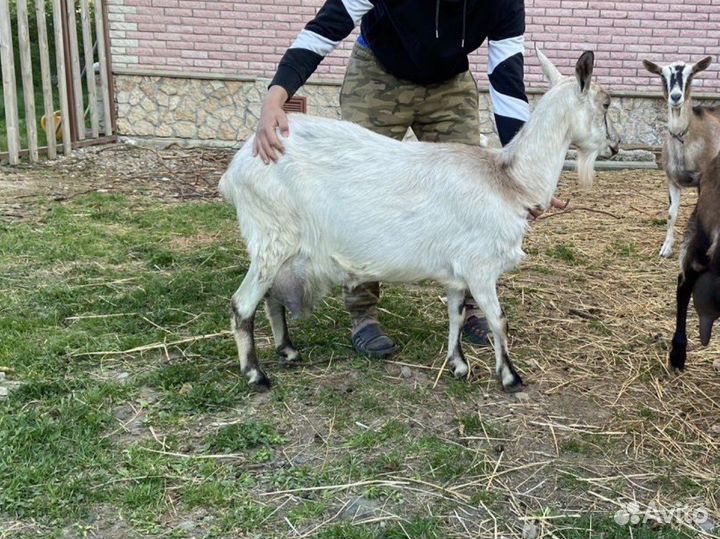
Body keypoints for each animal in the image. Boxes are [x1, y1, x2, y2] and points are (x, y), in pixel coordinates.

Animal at [218, 50, 619, 393]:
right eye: (606, 103)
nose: (614, 147)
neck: (508, 181)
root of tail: (237, 167)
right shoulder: (480, 268)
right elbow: (499, 319)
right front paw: (510, 378)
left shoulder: (458, 272)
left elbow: (456, 314)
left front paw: (459, 365)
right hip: (271, 238)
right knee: (241, 304)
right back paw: (255, 374)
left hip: (282, 248)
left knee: (271, 299)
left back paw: (287, 351)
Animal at [642, 57, 720, 258]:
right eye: (662, 75)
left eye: (691, 74)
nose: (676, 97)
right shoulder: (671, 179)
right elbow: (672, 213)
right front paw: (666, 248)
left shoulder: (703, 179)